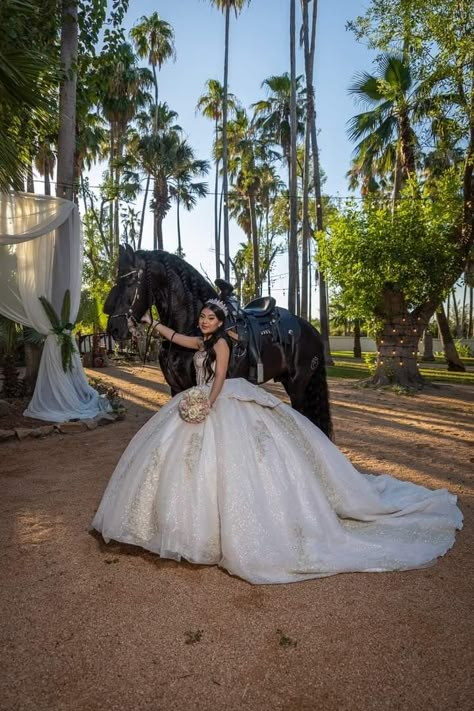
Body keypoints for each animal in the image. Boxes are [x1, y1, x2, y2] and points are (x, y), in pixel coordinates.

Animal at [106, 246, 334, 440]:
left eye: (130, 281)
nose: (114, 328)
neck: (191, 325)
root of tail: (311, 330)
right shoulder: (175, 388)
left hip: (298, 384)